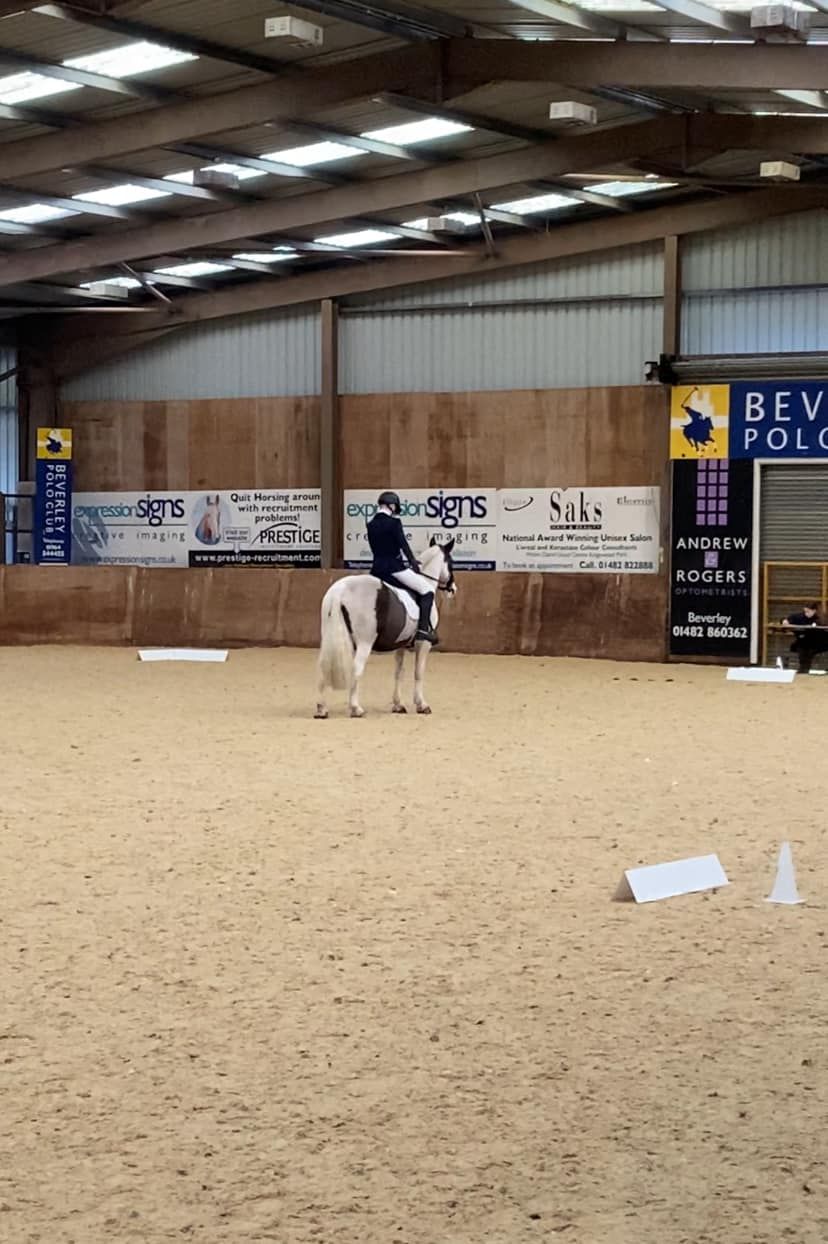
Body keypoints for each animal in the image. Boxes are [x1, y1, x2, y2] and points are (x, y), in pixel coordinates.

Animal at [315, 539, 457, 726]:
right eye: (451, 562)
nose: (453, 589)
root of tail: (340, 588)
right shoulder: (423, 643)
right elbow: (418, 673)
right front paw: (422, 705)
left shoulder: (401, 645)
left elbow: (399, 672)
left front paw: (398, 705)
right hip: (364, 643)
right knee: (356, 669)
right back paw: (356, 709)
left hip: (330, 639)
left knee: (323, 667)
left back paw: (321, 709)